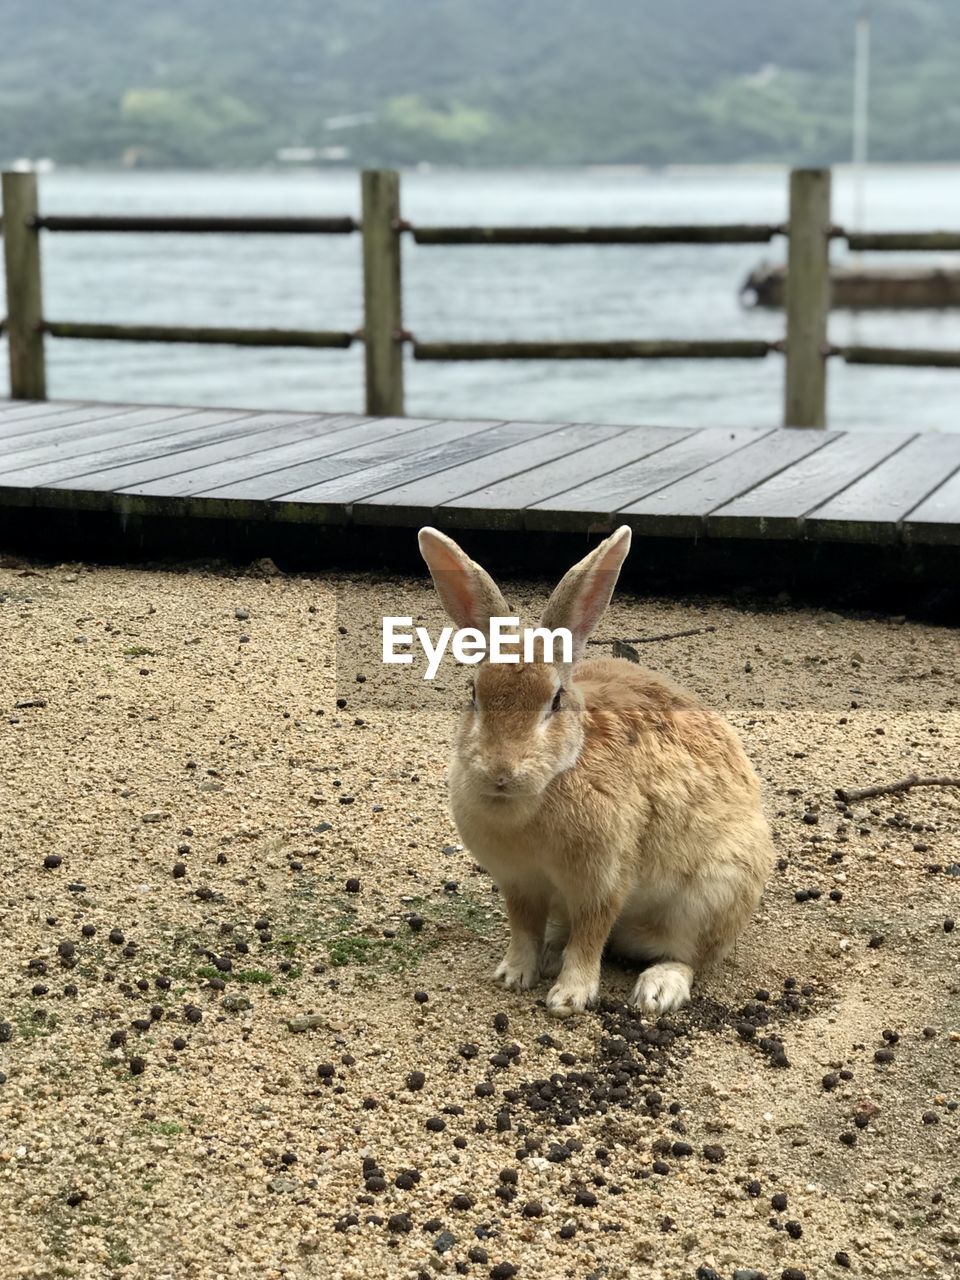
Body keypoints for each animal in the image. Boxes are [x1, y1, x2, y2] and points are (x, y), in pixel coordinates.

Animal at [417, 524, 773, 1013]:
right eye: (474, 694)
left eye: (555, 700)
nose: (500, 773)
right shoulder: (519, 882)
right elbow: (523, 928)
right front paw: (514, 975)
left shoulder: (602, 880)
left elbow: (590, 935)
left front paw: (569, 997)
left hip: (712, 897)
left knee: (691, 956)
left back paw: (657, 989)